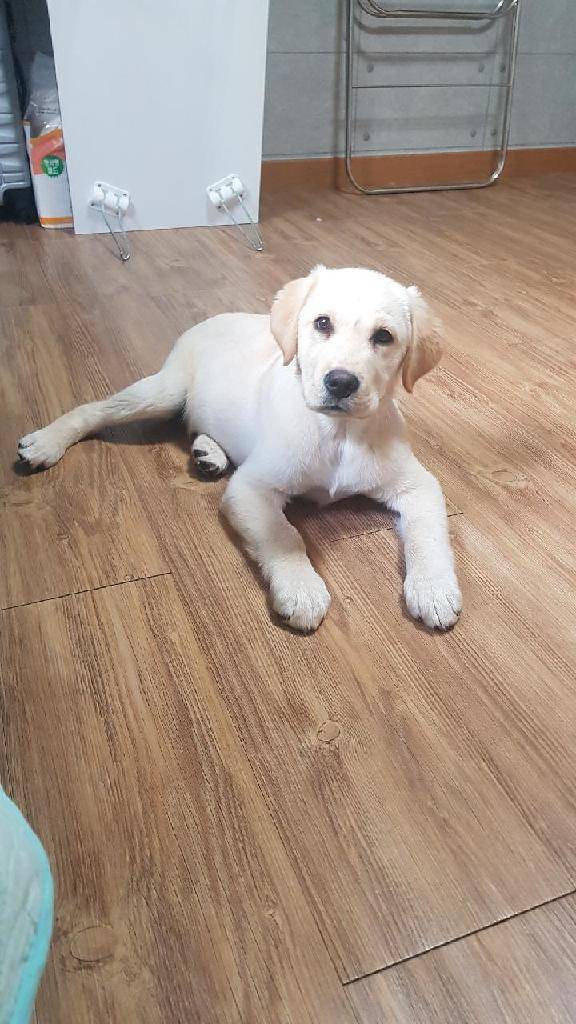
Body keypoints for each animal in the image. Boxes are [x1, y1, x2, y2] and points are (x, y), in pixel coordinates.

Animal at [17, 265, 462, 633]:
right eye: (322, 323)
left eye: (384, 337)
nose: (340, 383)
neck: (338, 433)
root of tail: (215, 317)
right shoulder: (251, 490)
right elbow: (284, 535)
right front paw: (301, 589)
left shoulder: (418, 485)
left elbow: (428, 533)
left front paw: (435, 589)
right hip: (164, 391)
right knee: (98, 409)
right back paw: (46, 442)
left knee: (197, 425)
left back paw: (209, 454)